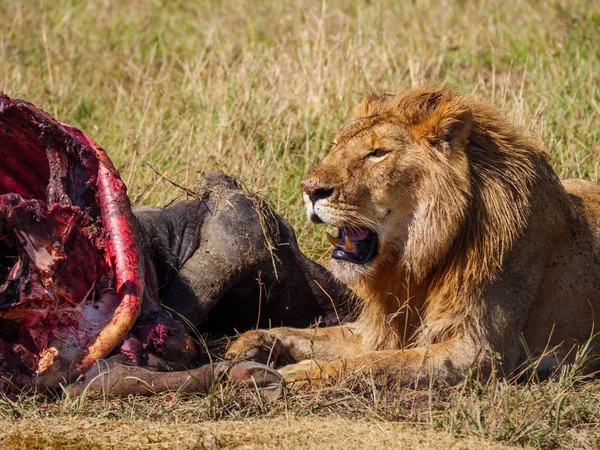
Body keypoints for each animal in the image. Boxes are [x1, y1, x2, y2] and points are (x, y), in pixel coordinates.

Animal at [224, 87, 600, 386]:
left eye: (378, 153)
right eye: (335, 146)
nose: (309, 188)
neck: (417, 262)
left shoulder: (480, 352)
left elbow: (377, 362)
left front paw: (303, 373)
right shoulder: (377, 328)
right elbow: (312, 335)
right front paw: (255, 340)